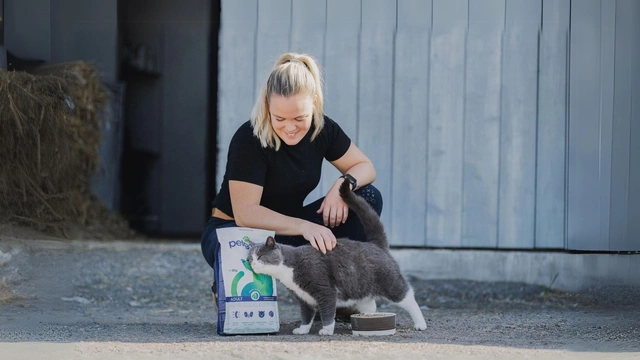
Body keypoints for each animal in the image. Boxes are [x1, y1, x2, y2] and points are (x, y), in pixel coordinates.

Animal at [248, 179, 428, 334]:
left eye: (261, 256)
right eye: (250, 259)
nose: (253, 264)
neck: (288, 271)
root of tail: (377, 244)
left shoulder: (325, 290)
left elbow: (327, 312)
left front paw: (327, 330)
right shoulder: (303, 298)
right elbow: (306, 316)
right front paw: (303, 330)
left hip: (390, 281)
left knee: (408, 297)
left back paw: (420, 323)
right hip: (361, 288)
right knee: (371, 306)